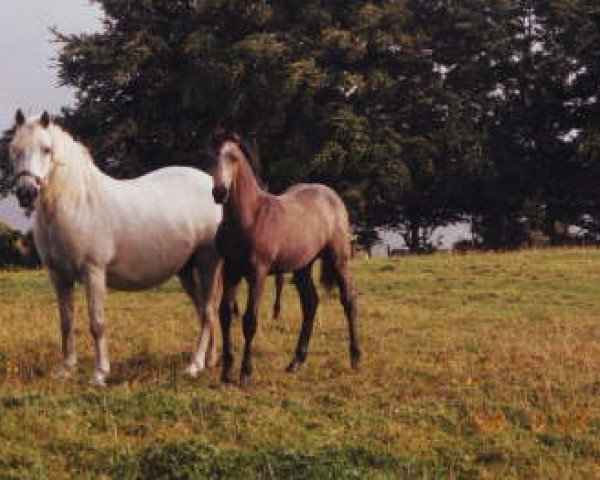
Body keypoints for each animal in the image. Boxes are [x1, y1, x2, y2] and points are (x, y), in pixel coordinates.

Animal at [9, 110, 223, 388]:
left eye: (46, 149)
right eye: (14, 150)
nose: (26, 192)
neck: (77, 204)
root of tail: (214, 186)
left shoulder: (93, 272)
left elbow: (97, 323)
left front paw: (99, 375)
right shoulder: (59, 277)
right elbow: (66, 322)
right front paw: (65, 371)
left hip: (208, 263)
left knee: (207, 312)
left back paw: (194, 366)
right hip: (186, 270)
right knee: (205, 310)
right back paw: (209, 360)